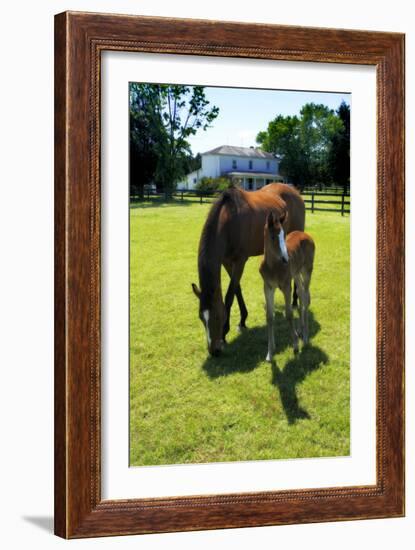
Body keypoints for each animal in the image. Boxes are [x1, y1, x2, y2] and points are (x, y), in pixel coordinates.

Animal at [260, 211, 316, 362]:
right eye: (273, 236)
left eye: (284, 235)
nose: (286, 259)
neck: (273, 266)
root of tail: (306, 235)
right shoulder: (268, 287)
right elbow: (269, 316)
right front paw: (270, 352)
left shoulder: (286, 286)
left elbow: (289, 314)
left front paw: (296, 345)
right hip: (296, 274)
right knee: (301, 294)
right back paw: (301, 330)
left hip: (307, 271)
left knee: (306, 299)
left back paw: (305, 337)